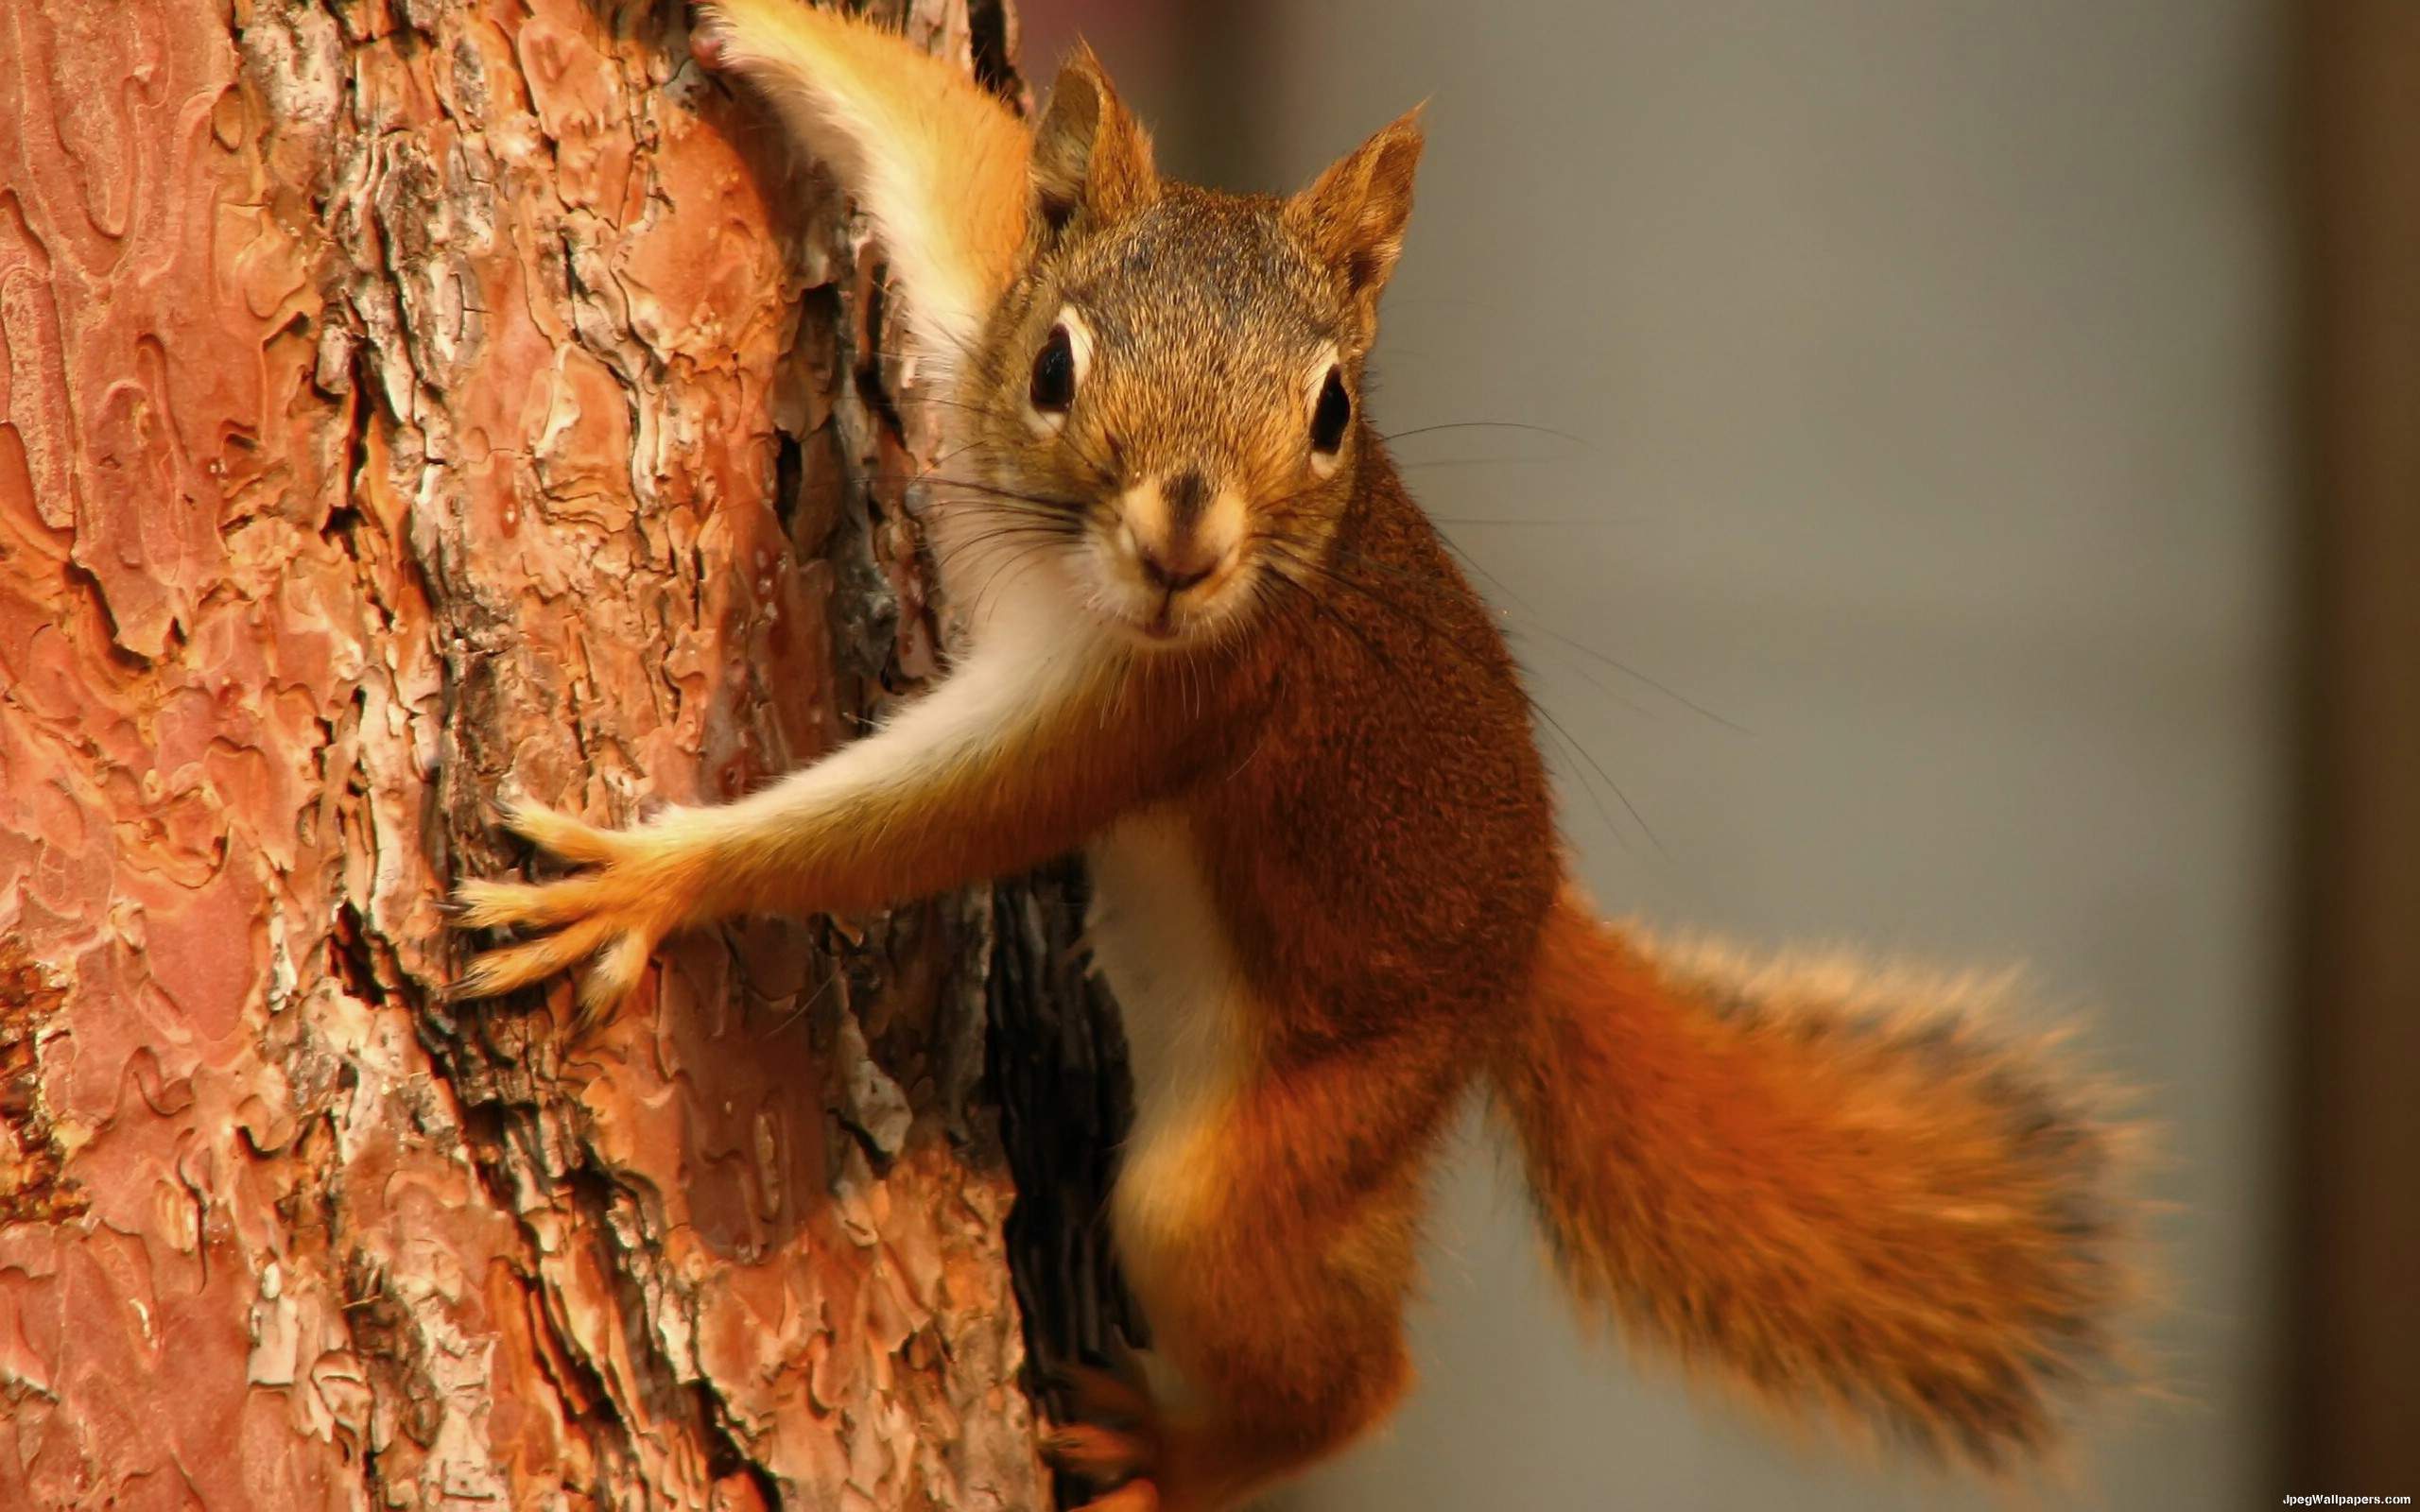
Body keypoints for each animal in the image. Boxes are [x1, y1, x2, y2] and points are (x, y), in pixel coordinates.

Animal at [445, 6, 2129, 1500]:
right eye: (1054, 367)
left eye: (1332, 410)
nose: (1185, 543)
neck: (1070, 574)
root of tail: (1528, 936)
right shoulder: (982, 289)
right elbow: (947, 149)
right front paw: (748, 20)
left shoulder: (1169, 706)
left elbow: (929, 823)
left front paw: (649, 880)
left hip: (1292, 1143)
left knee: (1343, 1371)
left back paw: (1177, 1457)